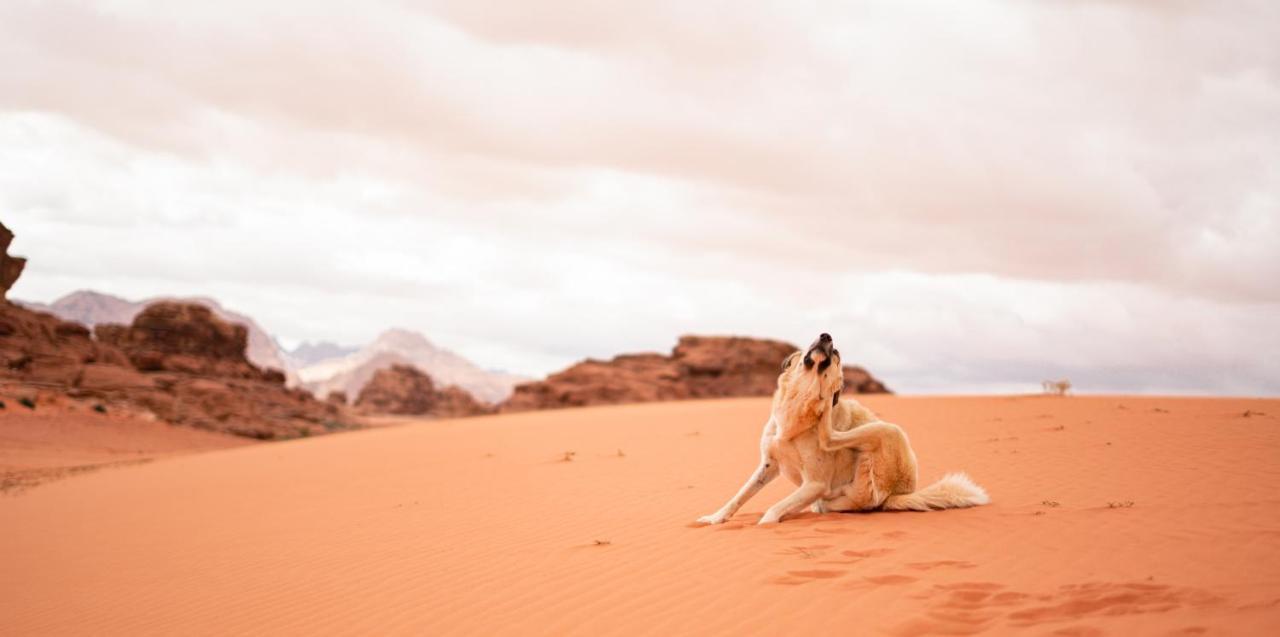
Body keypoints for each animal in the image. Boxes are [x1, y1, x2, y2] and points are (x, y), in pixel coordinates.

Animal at [701, 330, 988, 524]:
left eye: (836, 354)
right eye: (813, 341)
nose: (826, 335)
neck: (799, 404)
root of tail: (897, 494)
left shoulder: (816, 483)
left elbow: (775, 508)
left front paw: (764, 524)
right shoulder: (769, 465)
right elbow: (740, 495)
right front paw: (715, 518)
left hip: (886, 434)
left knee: (830, 437)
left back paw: (827, 405)